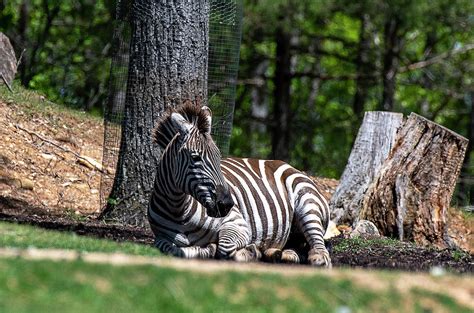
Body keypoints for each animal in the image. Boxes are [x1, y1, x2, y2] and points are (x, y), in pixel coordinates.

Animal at [147, 100, 330, 266]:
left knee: (320, 247)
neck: (178, 210)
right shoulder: (161, 237)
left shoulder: (239, 224)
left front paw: (248, 252)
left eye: (218, 157)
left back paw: (317, 258)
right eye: (195, 158)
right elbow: (168, 248)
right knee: (298, 249)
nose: (227, 204)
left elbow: (224, 247)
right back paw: (277, 253)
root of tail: (284, 164)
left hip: (307, 203)